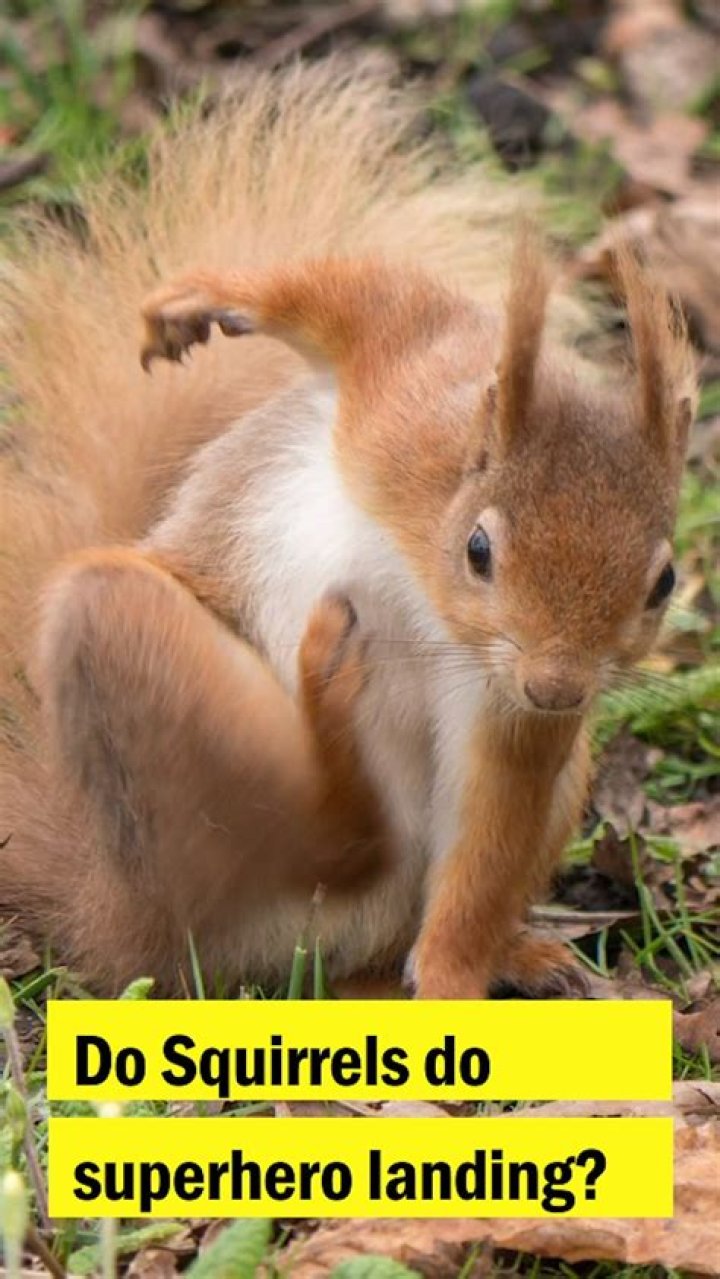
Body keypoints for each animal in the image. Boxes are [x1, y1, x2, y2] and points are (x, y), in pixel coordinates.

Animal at [0, 59, 695, 997]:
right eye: (480, 549)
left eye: (664, 582)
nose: (556, 687)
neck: (428, 586)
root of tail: (113, 913)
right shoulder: (401, 388)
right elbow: (358, 298)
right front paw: (201, 299)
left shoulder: (509, 713)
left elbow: (490, 838)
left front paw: (453, 981)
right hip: (124, 643)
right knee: (321, 840)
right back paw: (328, 690)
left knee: (373, 874)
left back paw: (519, 951)